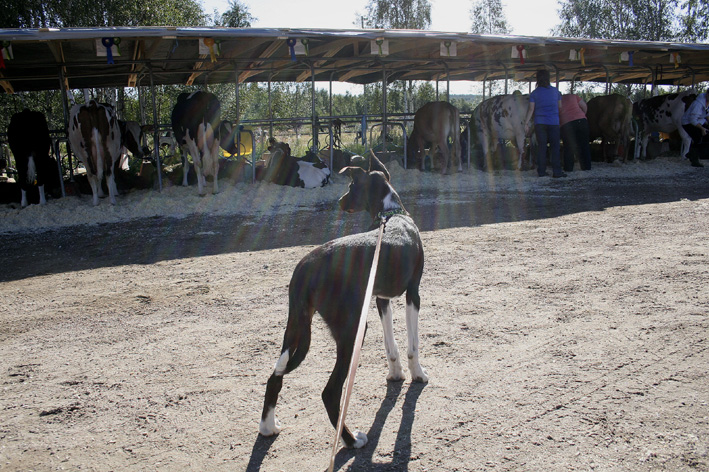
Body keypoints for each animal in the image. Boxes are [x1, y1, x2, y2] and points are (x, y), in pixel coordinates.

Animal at [259, 155, 428, 449]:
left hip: (296, 328)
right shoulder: (413, 293)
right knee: (330, 393)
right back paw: (352, 441)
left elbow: (391, 345)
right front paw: (417, 374)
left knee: (274, 377)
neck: (391, 214)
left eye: (350, 187)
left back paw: (268, 427)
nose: (339, 201)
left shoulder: (380, 298)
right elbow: (412, 345)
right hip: (351, 332)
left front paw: (396, 373)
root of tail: (306, 268)